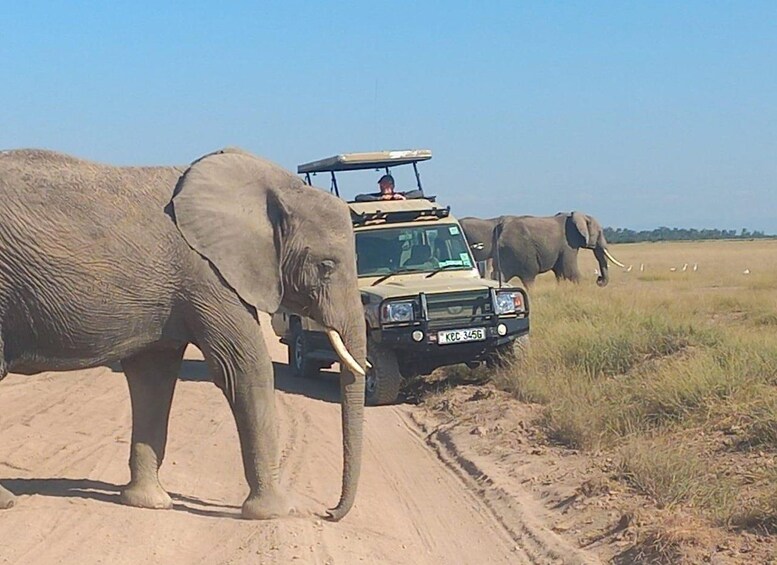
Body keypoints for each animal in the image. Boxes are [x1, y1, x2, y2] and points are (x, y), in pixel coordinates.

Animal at [0, 147, 367, 521]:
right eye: (326, 266)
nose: (328, 512)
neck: (277, 186)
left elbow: (153, 377)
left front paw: (148, 503)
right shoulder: (209, 276)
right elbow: (245, 369)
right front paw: (276, 512)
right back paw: (7, 501)